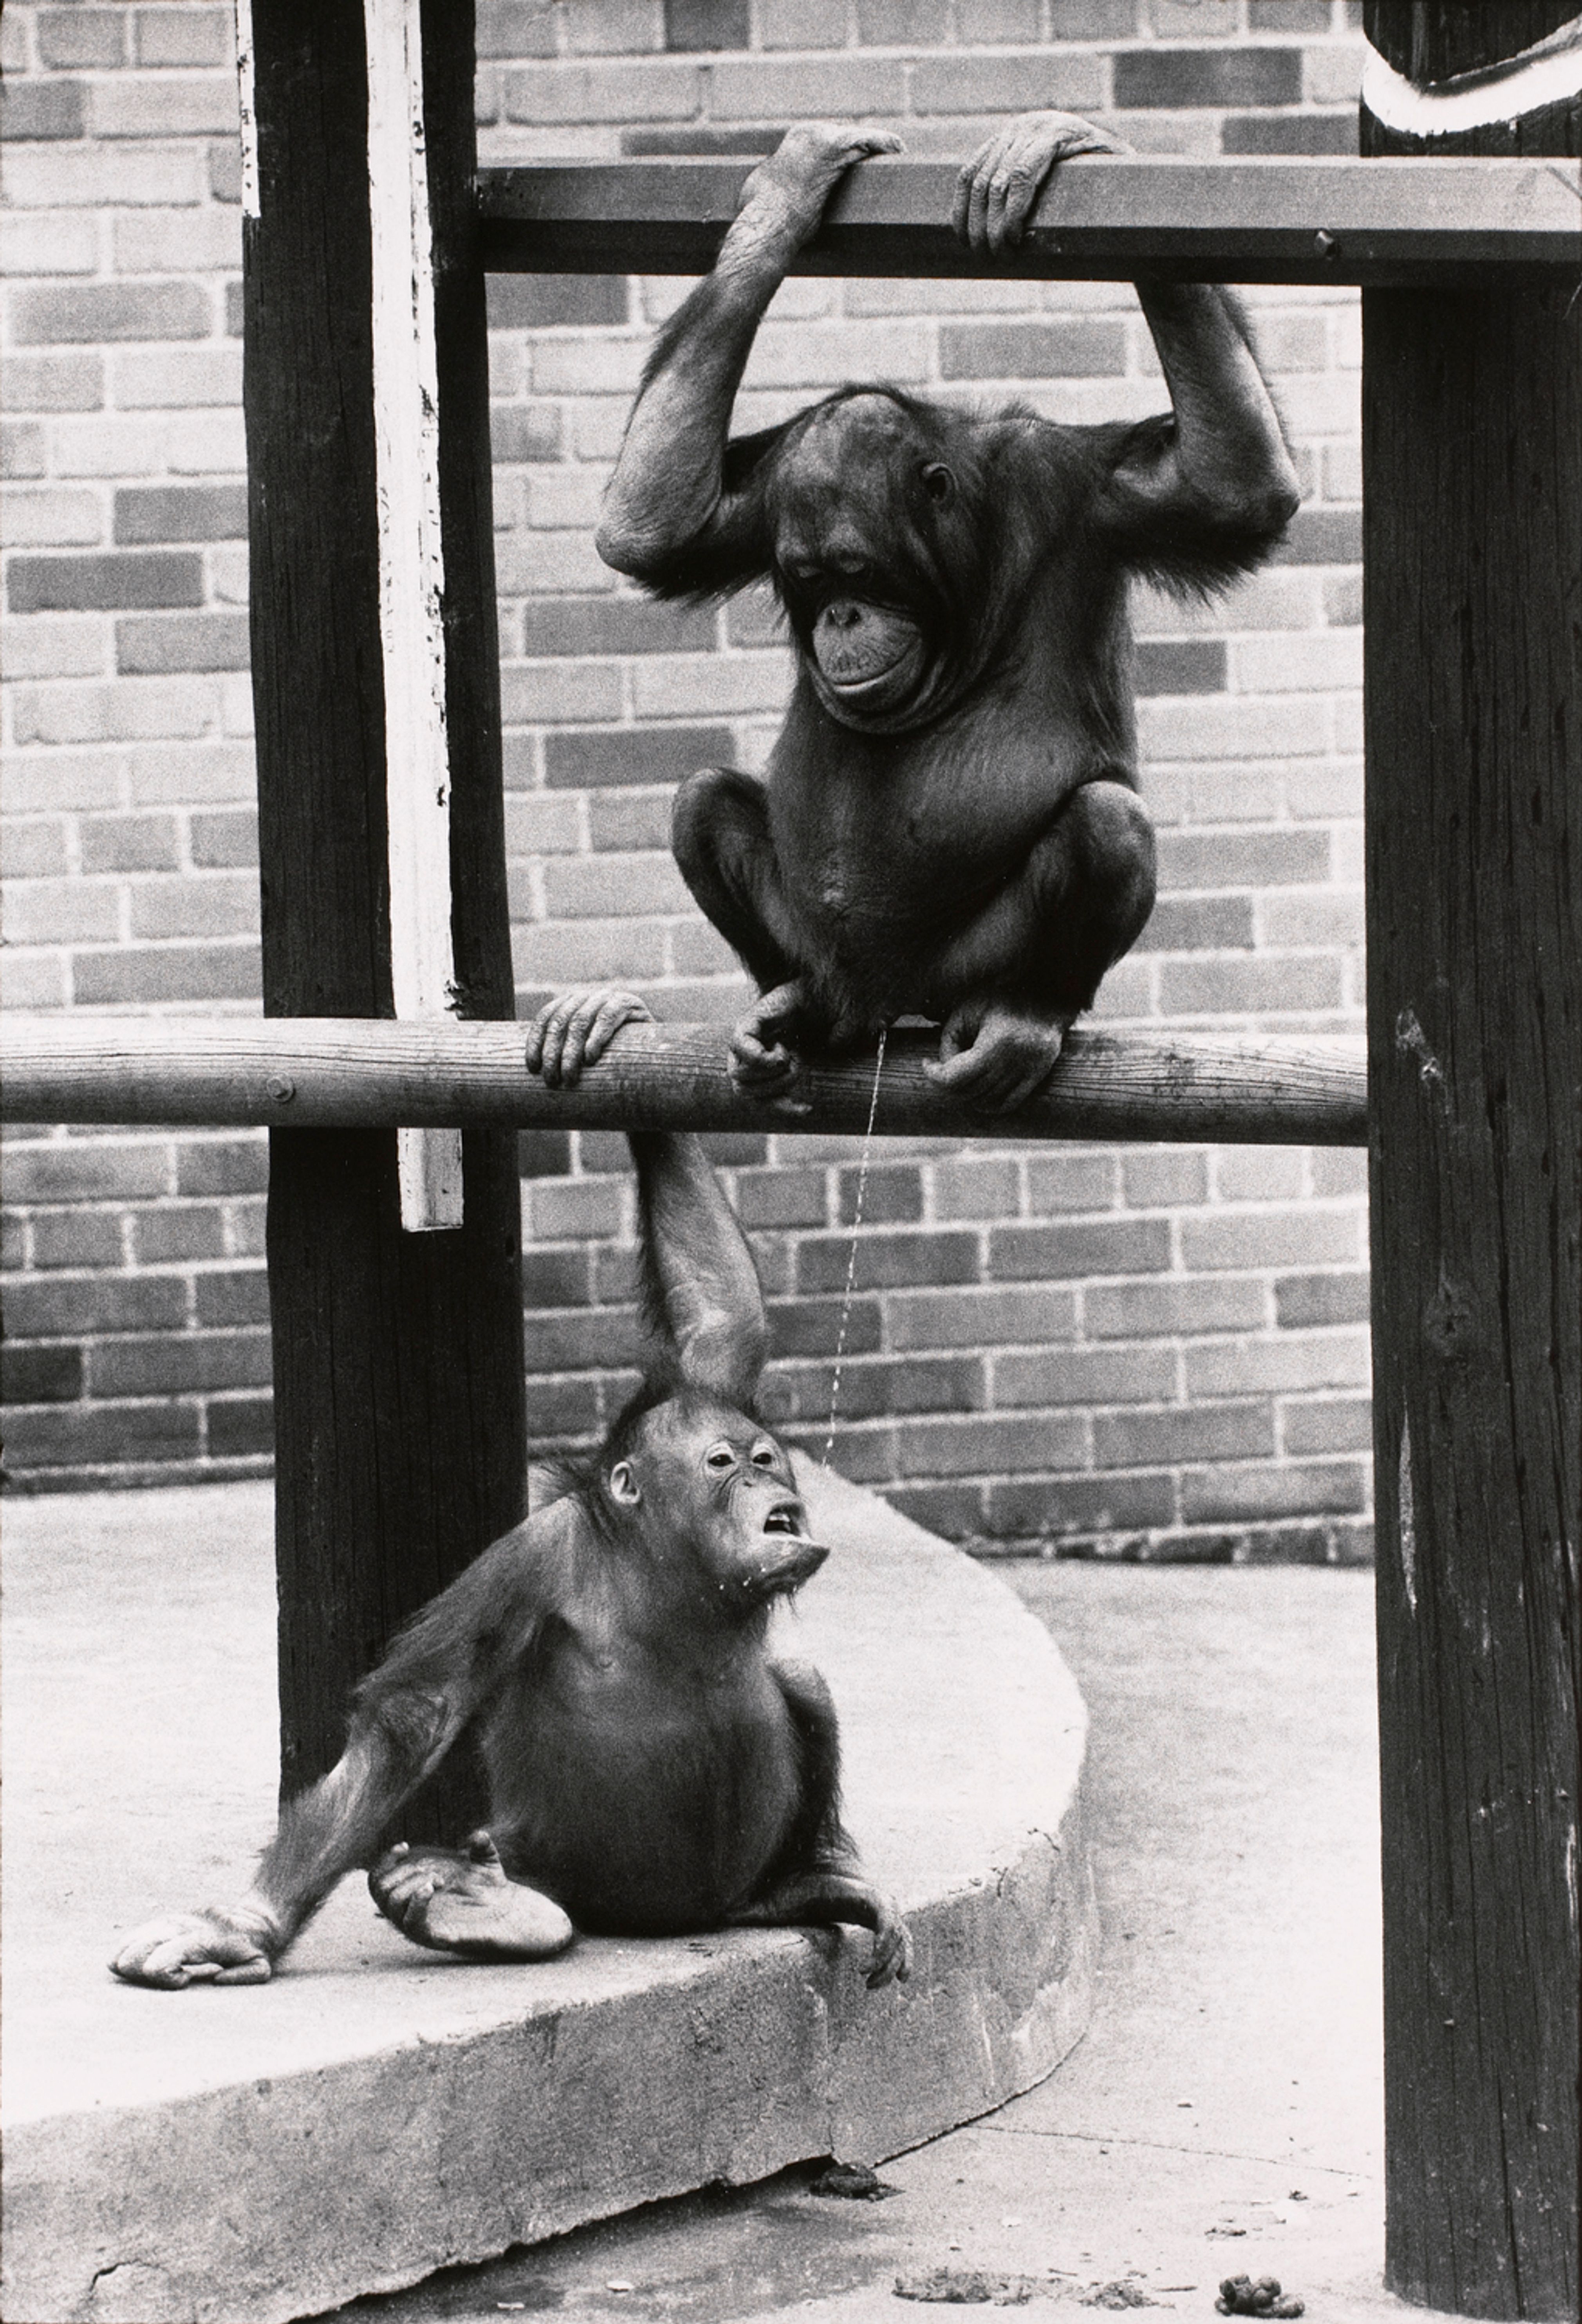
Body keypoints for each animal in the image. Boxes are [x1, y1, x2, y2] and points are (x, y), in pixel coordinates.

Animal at [109, 990, 909, 1993]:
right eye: (724, 1464)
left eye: (767, 1457)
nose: (767, 1480)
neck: (663, 1563)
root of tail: (688, 1916)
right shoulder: (534, 1556)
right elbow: (417, 1714)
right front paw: (236, 1926)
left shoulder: (714, 1378)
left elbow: (723, 1319)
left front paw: (611, 1024)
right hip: (557, 1862)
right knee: (545, 1893)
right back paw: (471, 1899)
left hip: (736, 1883)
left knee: (798, 1679)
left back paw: (814, 1882)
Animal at [594, 112, 1301, 1112]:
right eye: (808, 580)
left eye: (856, 571)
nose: (841, 619)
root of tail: (889, 1006)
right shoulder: (764, 502)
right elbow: (653, 528)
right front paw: (781, 204)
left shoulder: (1081, 488)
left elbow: (1230, 480)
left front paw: (1061, 143)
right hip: (828, 956)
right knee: (701, 802)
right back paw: (799, 1003)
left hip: (964, 968)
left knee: (1108, 825)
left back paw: (1024, 1014)